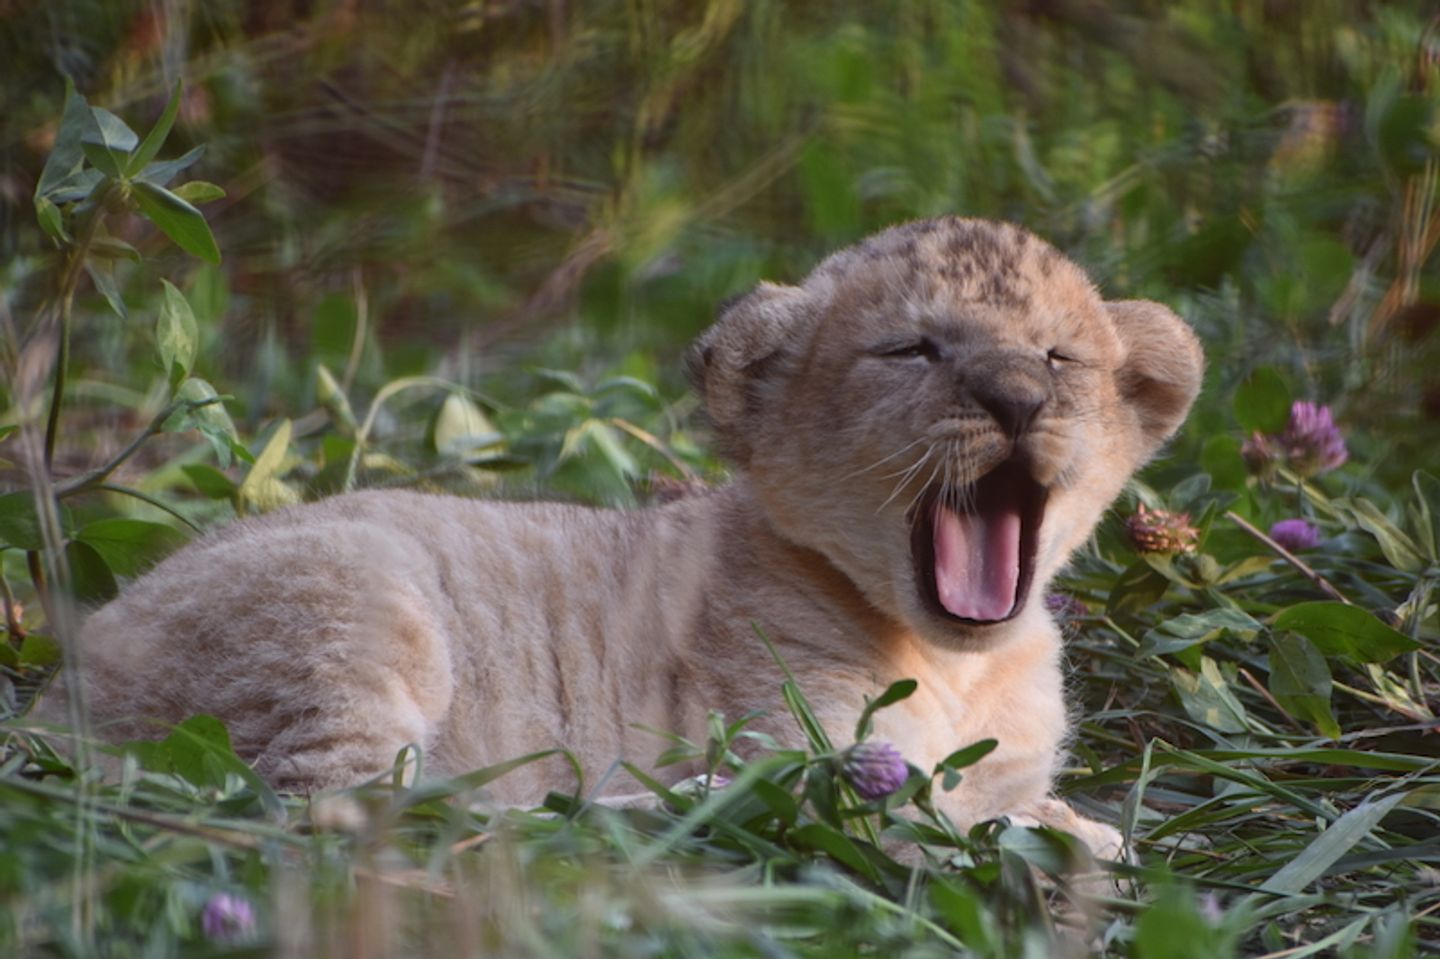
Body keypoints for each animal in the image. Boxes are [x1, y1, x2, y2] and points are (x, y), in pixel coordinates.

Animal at [35, 217, 1202, 859]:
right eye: (912, 349)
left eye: (1057, 357)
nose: (1016, 397)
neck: (964, 663)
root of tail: (52, 692)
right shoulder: (810, 730)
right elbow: (921, 807)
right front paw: (1069, 835)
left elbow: (1013, 795)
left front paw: (1079, 822)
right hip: (351, 610)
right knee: (357, 809)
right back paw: (638, 804)